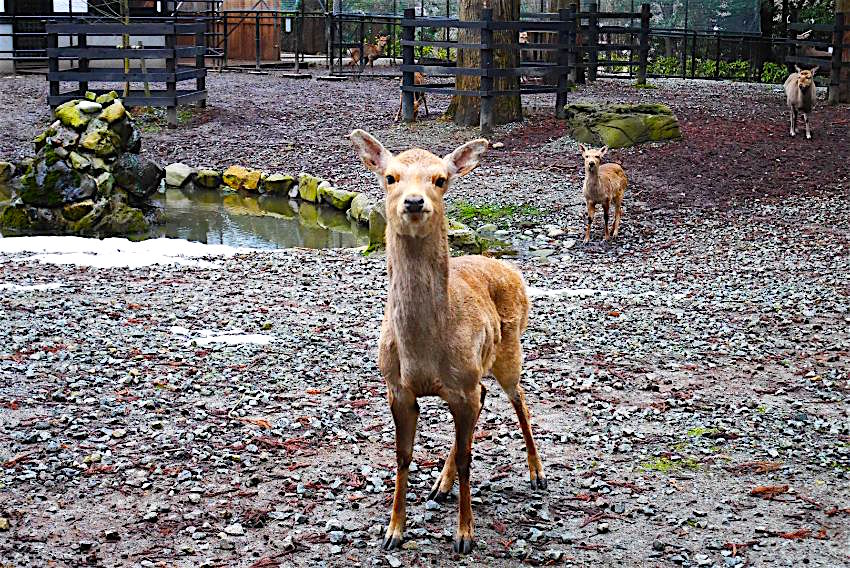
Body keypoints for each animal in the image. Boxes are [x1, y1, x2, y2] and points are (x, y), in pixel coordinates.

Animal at [348, 129, 548, 556]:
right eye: (390, 177)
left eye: (441, 179)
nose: (414, 201)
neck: (423, 353)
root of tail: (511, 269)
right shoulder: (397, 387)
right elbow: (402, 456)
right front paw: (393, 531)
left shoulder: (462, 385)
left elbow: (471, 459)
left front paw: (465, 536)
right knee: (487, 398)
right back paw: (440, 485)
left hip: (509, 349)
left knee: (519, 398)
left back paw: (537, 473)